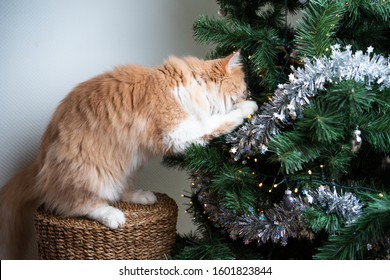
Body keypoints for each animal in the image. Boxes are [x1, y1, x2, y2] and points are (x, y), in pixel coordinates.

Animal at [0, 52, 258, 258]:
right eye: (244, 89)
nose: (250, 93)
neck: (187, 84)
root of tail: (39, 163)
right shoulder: (180, 130)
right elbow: (220, 120)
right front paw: (249, 108)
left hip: (128, 164)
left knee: (120, 190)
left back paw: (143, 196)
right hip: (87, 172)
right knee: (75, 205)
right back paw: (112, 215)